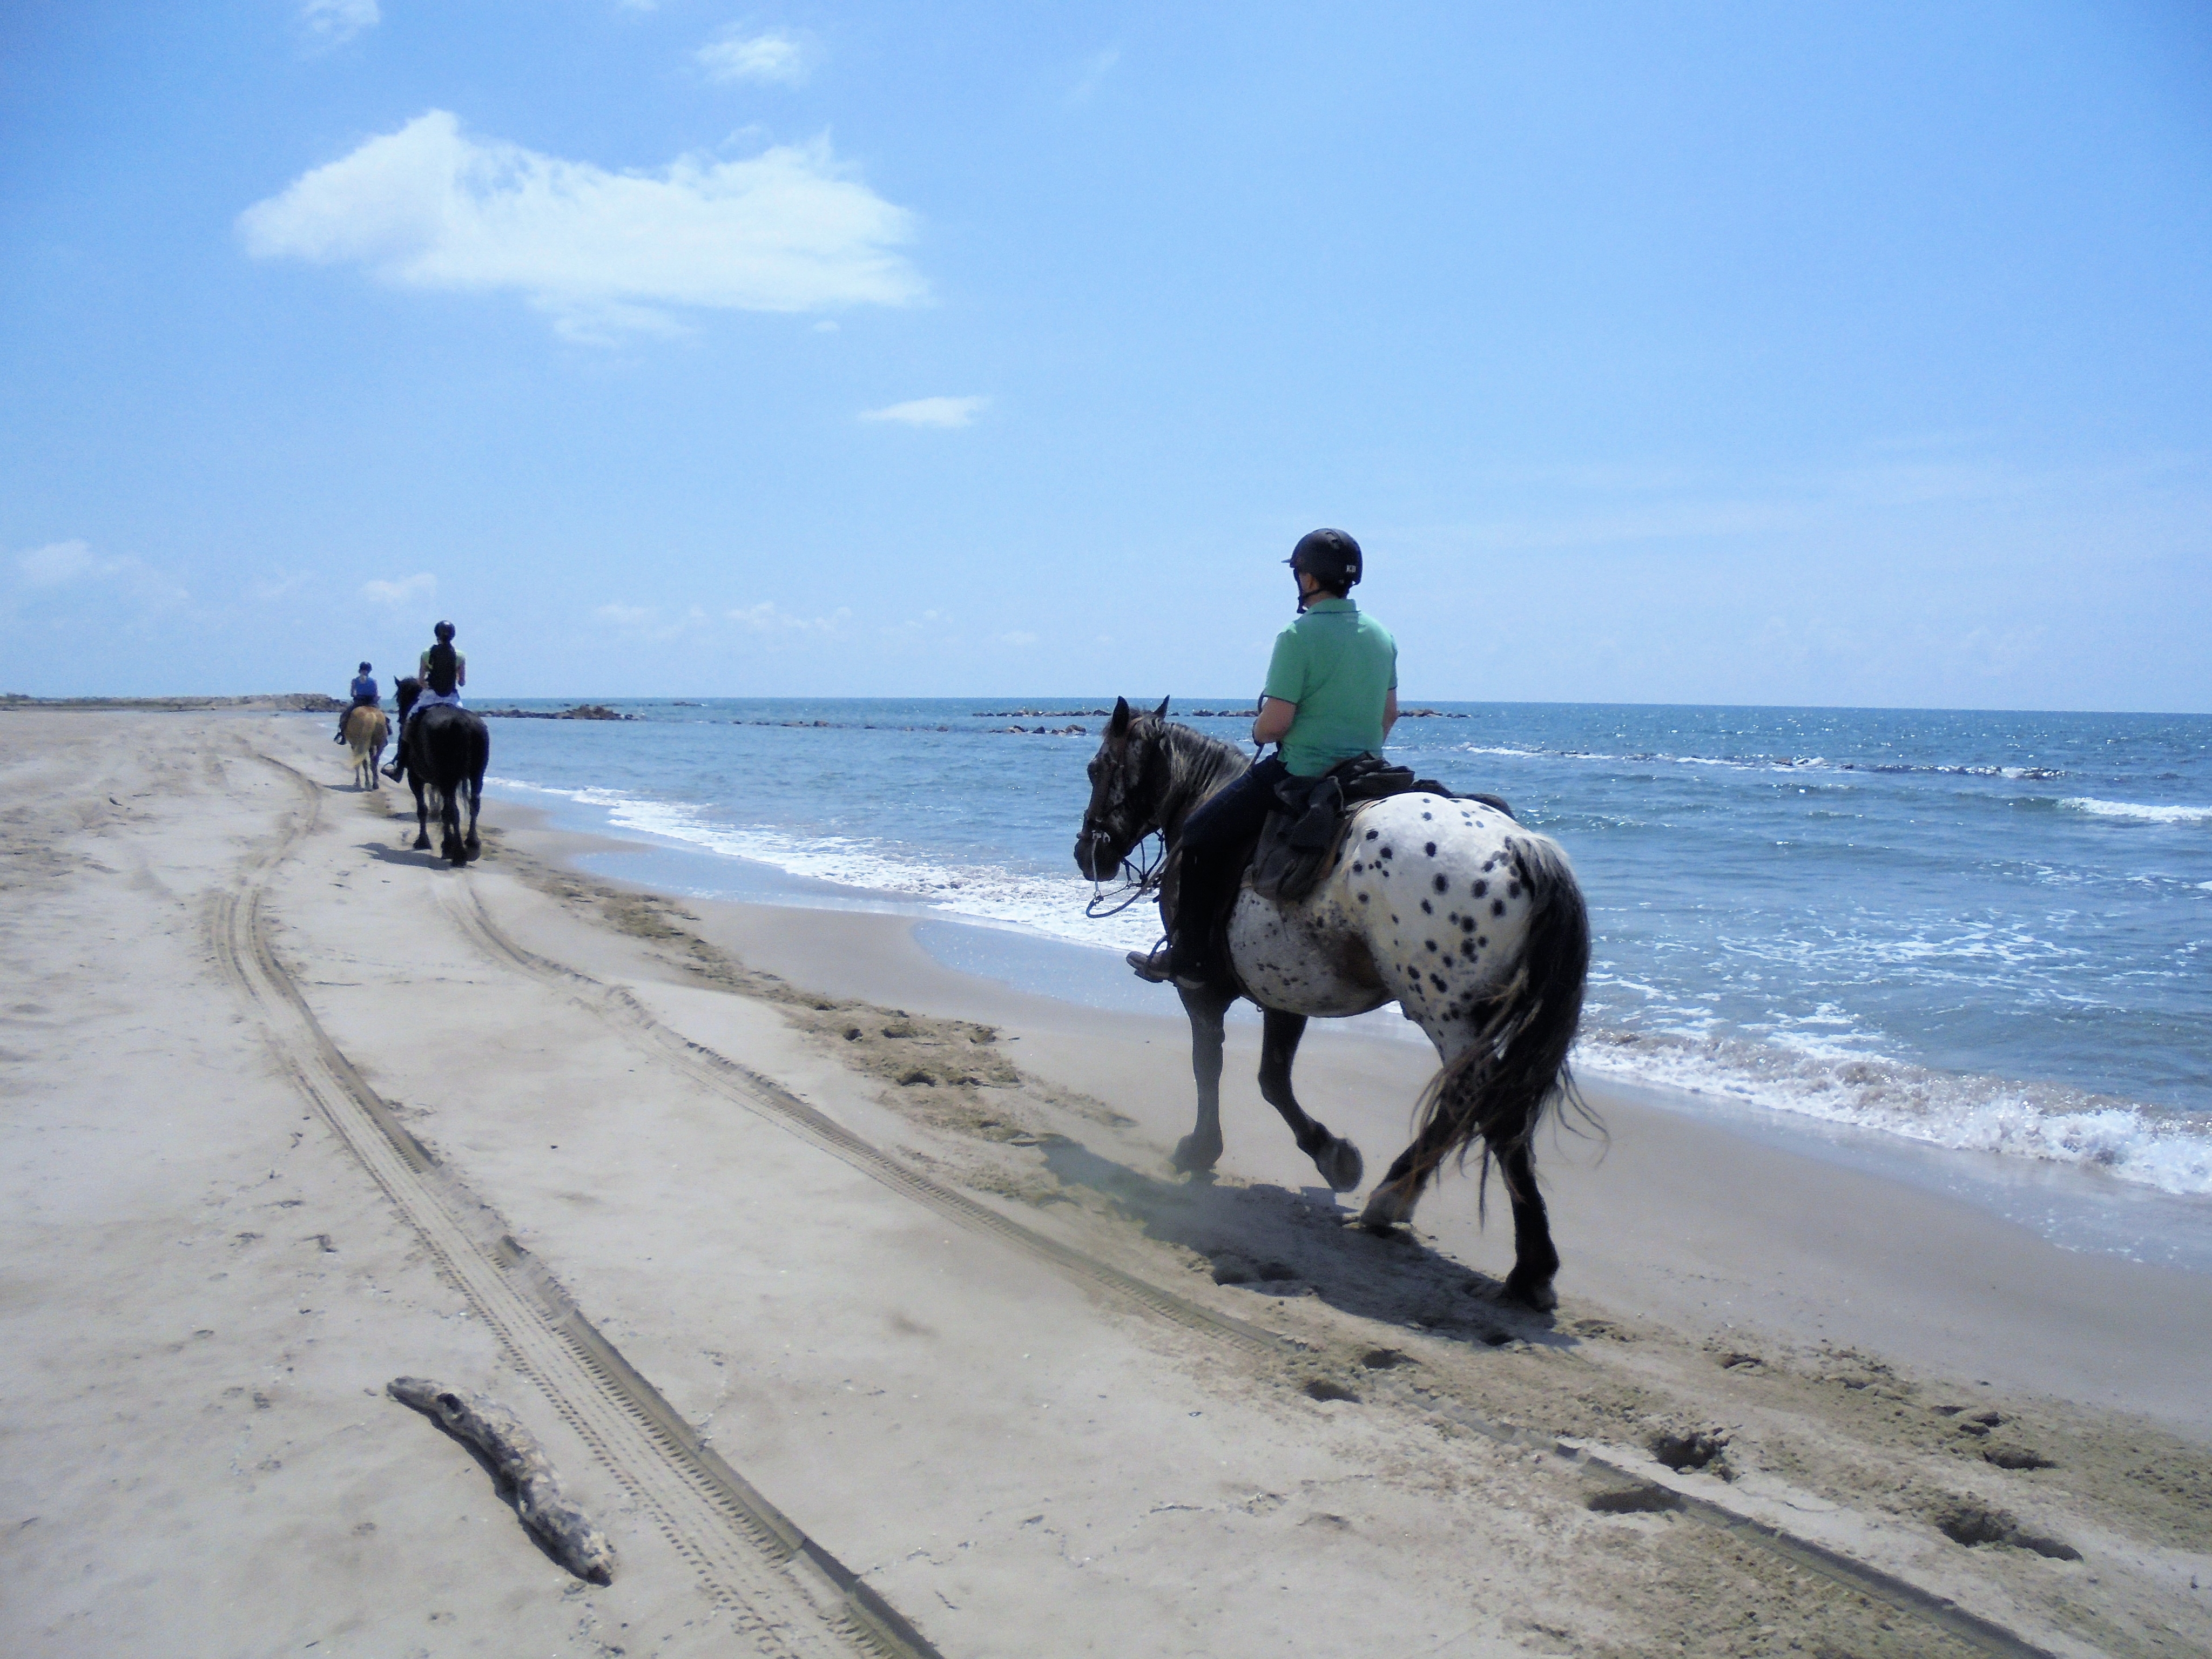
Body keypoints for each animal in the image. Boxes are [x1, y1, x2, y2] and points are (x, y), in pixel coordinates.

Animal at [344, 704, 389, 790]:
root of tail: (371, 715)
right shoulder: (371, 746)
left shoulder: (354, 745)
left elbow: (359, 763)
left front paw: (358, 782)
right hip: (380, 744)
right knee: (375, 761)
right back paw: (375, 784)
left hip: (359, 744)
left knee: (364, 763)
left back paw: (368, 783)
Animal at [392, 677, 489, 865]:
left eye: (399, 698)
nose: (400, 721)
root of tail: (462, 722)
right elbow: (443, 812)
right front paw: (446, 845)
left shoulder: (415, 778)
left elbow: (423, 810)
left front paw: (424, 842)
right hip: (476, 775)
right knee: (473, 805)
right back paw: (472, 846)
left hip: (447, 779)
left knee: (453, 811)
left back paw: (459, 853)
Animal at [1073, 697, 1591, 1311]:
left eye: (1097, 767)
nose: (1088, 854)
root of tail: (1519, 848)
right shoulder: (1287, 988)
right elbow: (1273, 1078)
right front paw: (1331, 1155)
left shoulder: (1199, 989)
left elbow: (1213, 1066)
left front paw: (1203, 1150)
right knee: (1477, 1106)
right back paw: (1402, 1203)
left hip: (1446, 1012)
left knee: (1484, 1106)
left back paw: (1519, 1261)